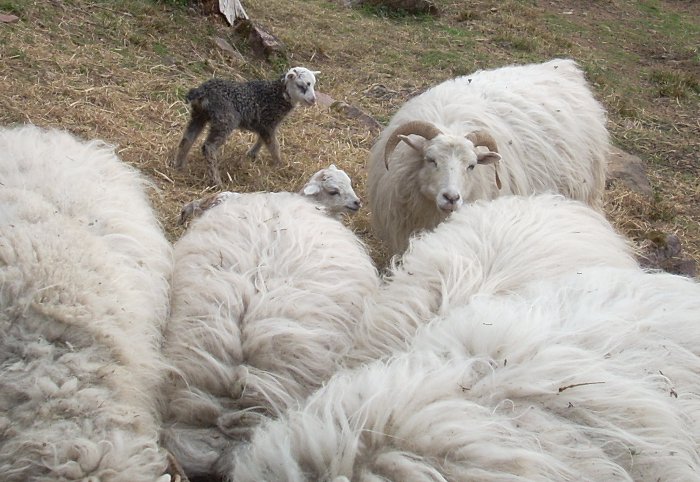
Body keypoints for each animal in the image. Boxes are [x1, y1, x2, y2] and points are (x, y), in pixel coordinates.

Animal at [171, 66, 320, 186]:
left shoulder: (265, 125)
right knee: (209, 147)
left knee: (187, 139)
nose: (313, 100)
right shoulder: (268, 123)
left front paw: (251, 154)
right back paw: (216, 181)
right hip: (225, 119)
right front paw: (280, 166)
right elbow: (274, 146)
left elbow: (262, 140)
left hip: (199, 115)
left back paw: (179, 167)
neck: (277, 94)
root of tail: (203, 91)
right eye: (302, 85)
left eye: (313, 84)